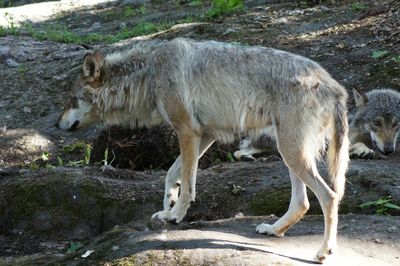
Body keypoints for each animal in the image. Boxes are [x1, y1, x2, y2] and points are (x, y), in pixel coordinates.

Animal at [56, 38, 350, 264]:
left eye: (71, 99)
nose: (57, 125)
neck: (149, 73)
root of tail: (336, 87)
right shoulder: (206, 134)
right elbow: (172, 173)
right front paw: (167, 204)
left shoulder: (188, 131)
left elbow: (188, 184)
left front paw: (175, 215)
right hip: (289, 153)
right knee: (303, 203)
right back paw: (274, 229)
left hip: (292, 153)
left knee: (330, 197)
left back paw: (323, 252)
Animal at [236, 89, 398, 160]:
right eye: (376, 123)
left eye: (396, 124)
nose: (389, 149)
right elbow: (356, 145)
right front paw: (364, 150)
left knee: (241, 151)